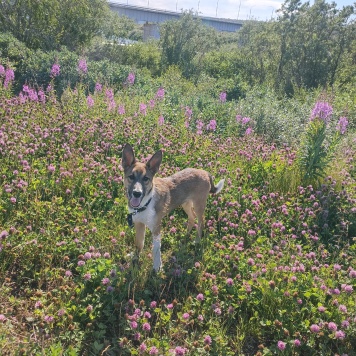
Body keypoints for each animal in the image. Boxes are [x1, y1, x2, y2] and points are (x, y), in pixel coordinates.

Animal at [121, 143, 224, 272]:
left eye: (146, 179)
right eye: (131, 176)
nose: (137, 193)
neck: (145, 204)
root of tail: (204, 172)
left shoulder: (156, 228)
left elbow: (156, 249)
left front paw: (157, 267)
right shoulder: (139, 224)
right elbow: (139, 243)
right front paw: (135, 256)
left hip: (199, 204)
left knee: (201, 221)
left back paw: (197, 240)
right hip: (186, 203)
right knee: (192, 217)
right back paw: (186, 235)